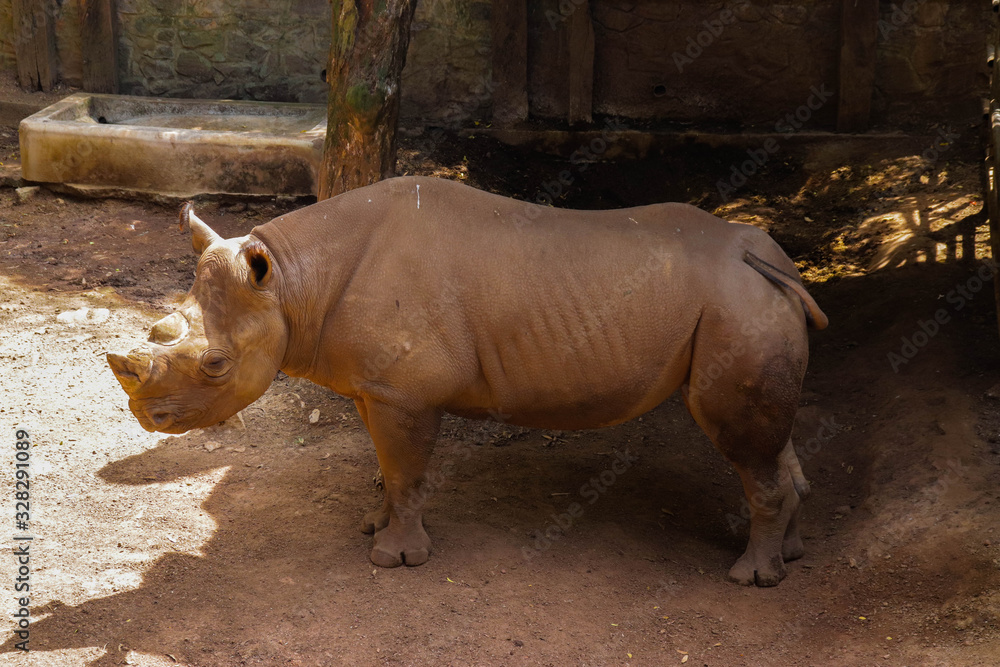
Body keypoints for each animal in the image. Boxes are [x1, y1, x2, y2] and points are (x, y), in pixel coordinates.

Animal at [108, 176, 828, 586]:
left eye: (215, 366)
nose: (147, 417)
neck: (289, 281)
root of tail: (769, 260)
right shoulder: (377, 387)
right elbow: (385, 466)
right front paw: (373, 526)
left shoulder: (404, 392)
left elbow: (405, 470)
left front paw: (394, 563)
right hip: (752, 302)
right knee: (770, 436)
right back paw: (790, 555)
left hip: (736, 303)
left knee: (740, 439)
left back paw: (751, 578)